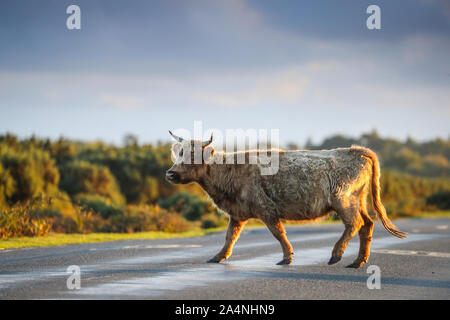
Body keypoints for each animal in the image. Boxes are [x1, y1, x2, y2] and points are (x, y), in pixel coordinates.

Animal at [166, 130, 408, 268]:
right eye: (179, 153)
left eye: (193, 155)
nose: (170, 173)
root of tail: (356, 150)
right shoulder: (237, 214)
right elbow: (229, 237)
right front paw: (217, 257)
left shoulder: (266, 209)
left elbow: (278, 233)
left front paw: (287, 257)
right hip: (358, 200)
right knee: (367, 224)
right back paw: (358, 261)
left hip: (343, 200)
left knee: (354, 224)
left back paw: (336, 255)